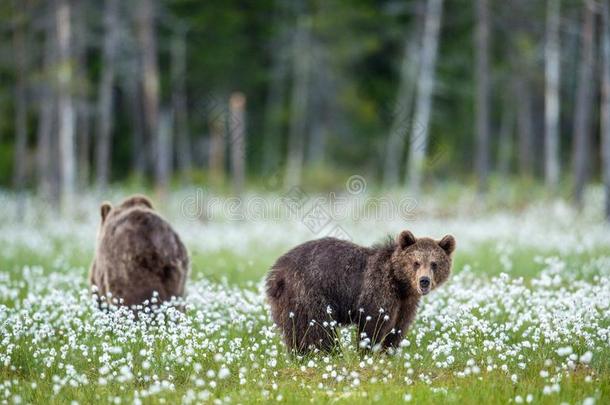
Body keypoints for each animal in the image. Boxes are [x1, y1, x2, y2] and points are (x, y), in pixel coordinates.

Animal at [264, 230, 454, 354]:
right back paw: (329, 354)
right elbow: (373, 323)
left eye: (434, 263)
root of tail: (276, 272)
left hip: (287, 304)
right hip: (308, 292)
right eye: (416, 262)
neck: (400, 284)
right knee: (317, 328)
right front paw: (366, 352)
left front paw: (388, 352)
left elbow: (398, 327)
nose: (424, 281)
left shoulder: (405, 303)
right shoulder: (378, 289)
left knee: (294, 331)